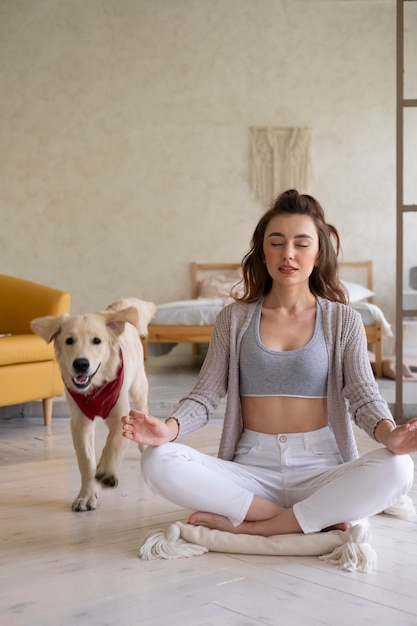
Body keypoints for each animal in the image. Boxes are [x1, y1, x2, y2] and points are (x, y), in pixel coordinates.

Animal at [30, 298, 154, 512]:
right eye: (69, 340)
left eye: (97, 341)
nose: (81, 364)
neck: (95, 389)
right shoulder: (80, 423)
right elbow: (86, 461)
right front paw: (86, 495)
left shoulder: (120, 415)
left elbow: (113, 445)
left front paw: (106, 472)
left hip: (138, 387)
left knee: (142, 411)